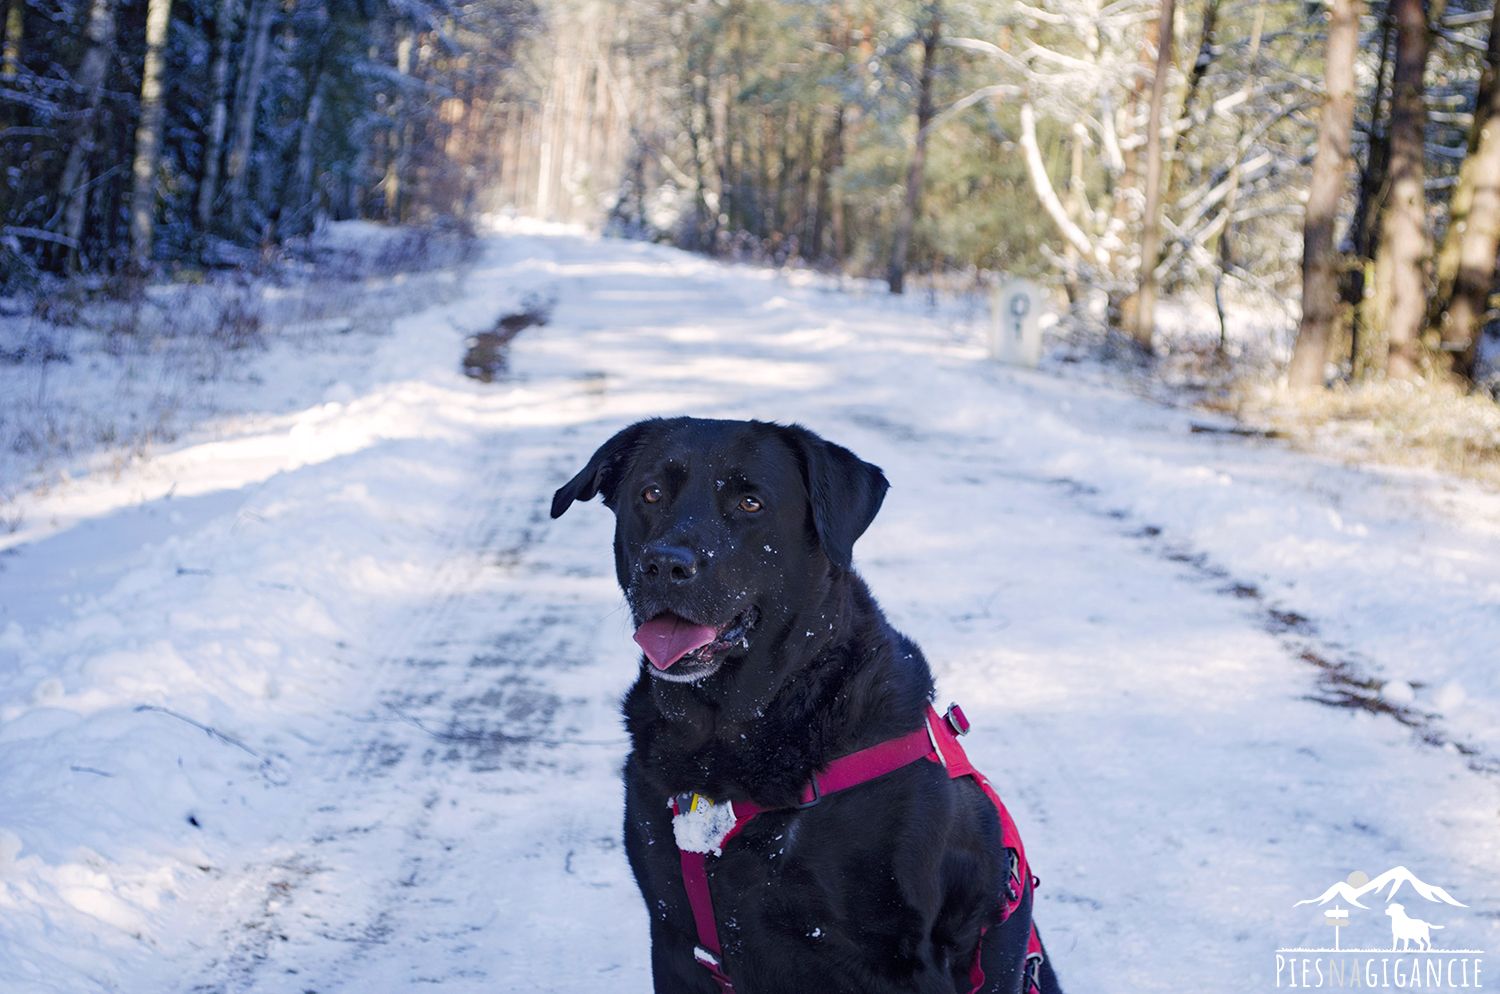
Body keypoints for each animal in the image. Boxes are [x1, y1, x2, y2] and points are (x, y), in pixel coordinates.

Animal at [549, 419, 1056, 994]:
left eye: (750, 503)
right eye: (651, 494)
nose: (663, 563)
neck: (728, 738)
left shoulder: (902, 962)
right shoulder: (675, 936)